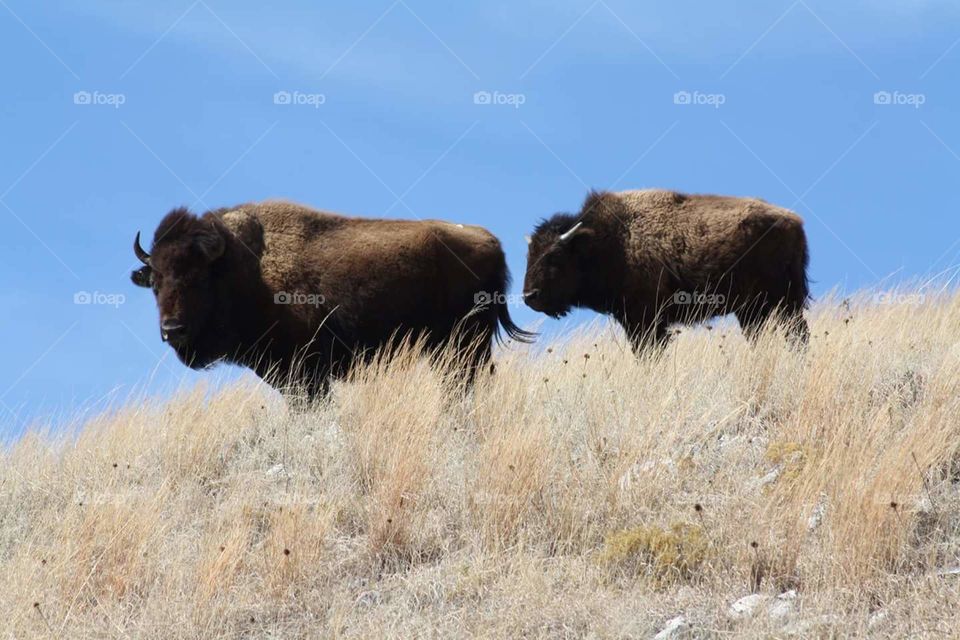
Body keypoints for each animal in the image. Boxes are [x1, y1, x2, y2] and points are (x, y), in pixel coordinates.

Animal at [132, 201, 534, 394]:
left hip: (464, 346)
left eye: (198, 278)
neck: (240, 268)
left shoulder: (307, 372)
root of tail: (491, 242)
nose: (172, 329)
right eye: (156, 282)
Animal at [523, 189, 810, 350]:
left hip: (785, 301)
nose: (529, 296)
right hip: (752, 310)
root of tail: (793, 220)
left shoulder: (646, 320)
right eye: (530, 254)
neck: (607, 240)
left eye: (554, 256)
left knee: (799, 334)